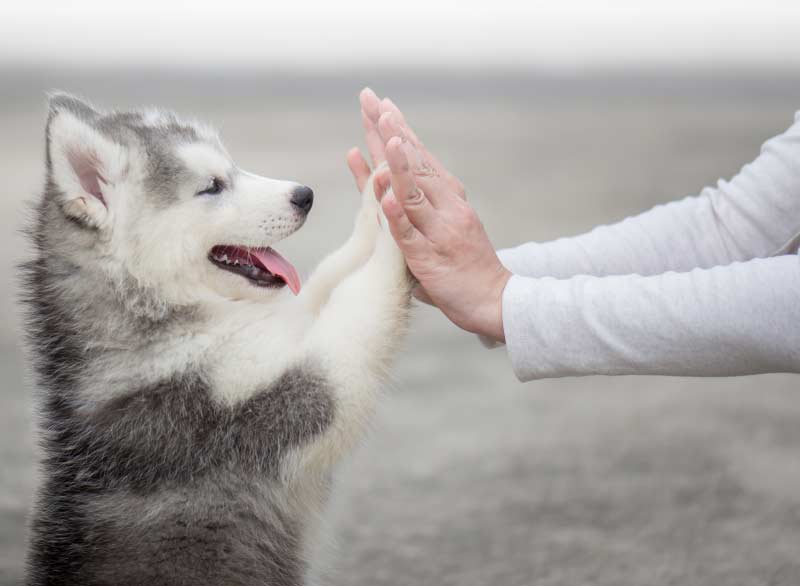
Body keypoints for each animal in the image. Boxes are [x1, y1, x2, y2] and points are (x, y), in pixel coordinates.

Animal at [21, 93, 412, 580]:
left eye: (233, 166)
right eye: (212, 186)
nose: (304, 195)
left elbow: (327, 279)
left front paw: (377, 199)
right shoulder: (265, 403)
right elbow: (359, 306)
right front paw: (399, 220)